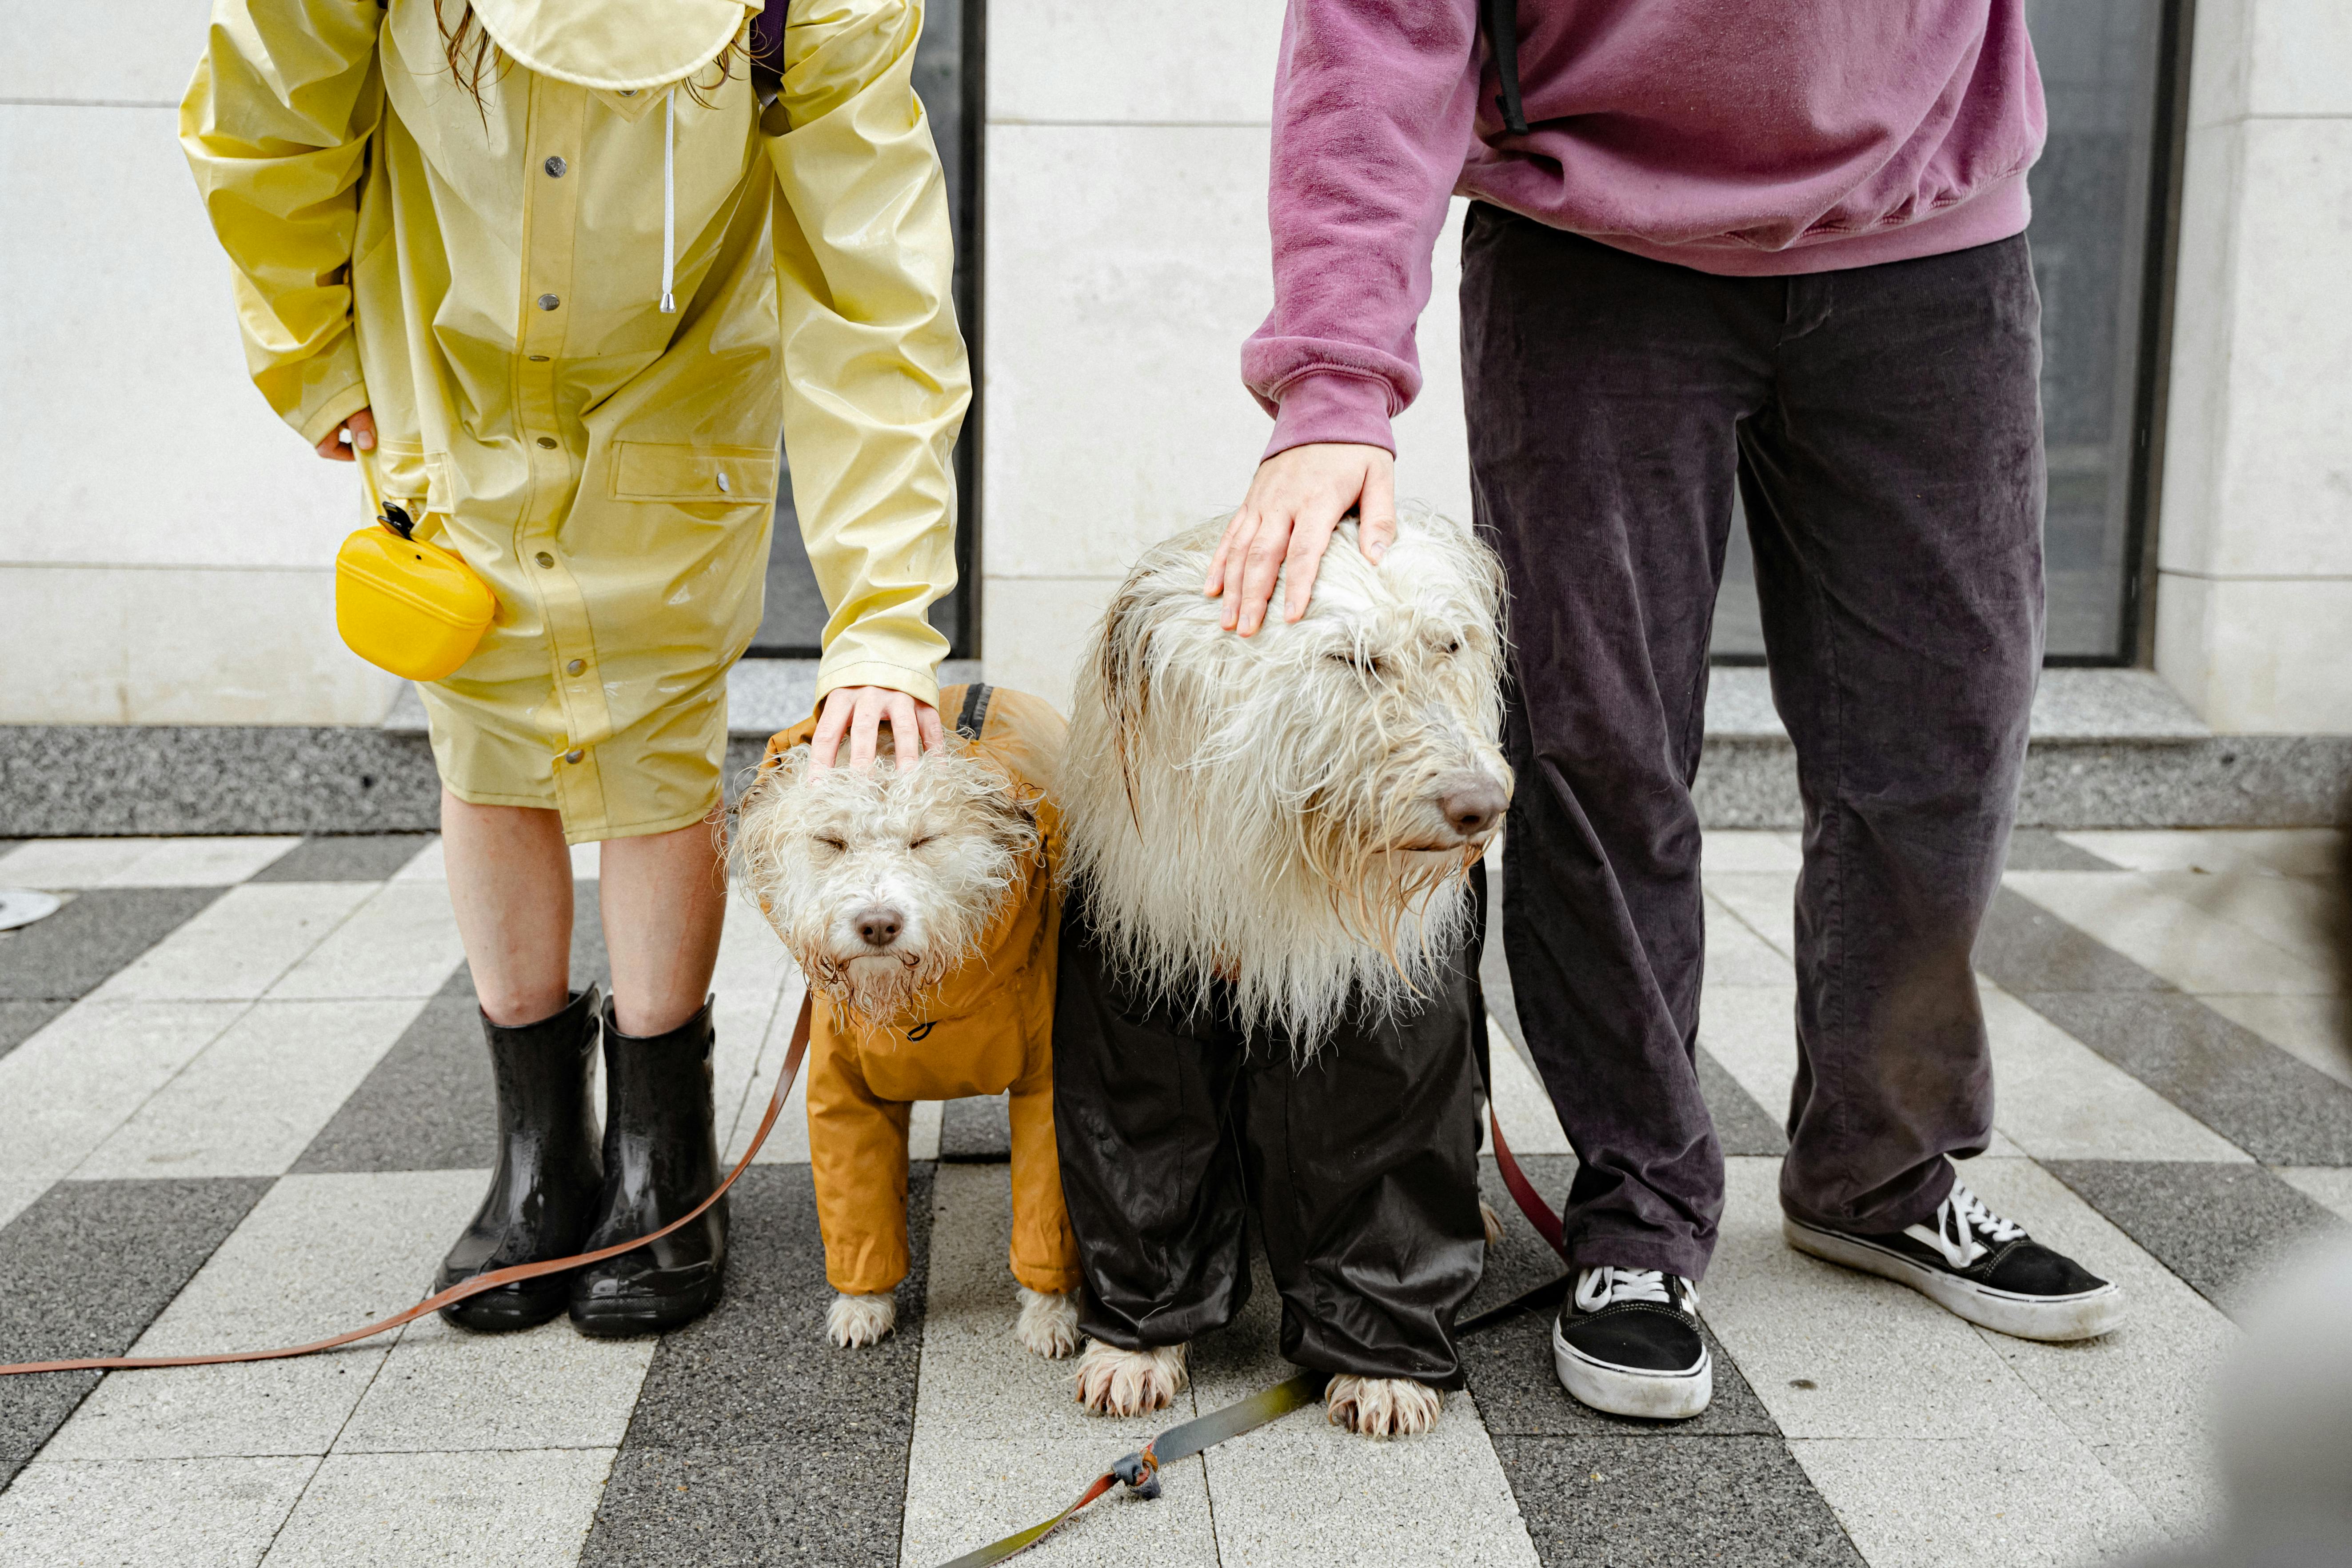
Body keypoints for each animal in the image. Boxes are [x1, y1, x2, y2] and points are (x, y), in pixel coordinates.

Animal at [739, 686, 1086, 1363]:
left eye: (924, 840)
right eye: (832, 841)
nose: (878, 924)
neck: (924, 1010)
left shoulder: (1050, 1085)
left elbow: (1046, 1203)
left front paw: (1049, 1311)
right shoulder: (843, 1094)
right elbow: (859, 1204)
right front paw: (863, 1303)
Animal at [1063, 510, 1514, 1439]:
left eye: (1448, 644)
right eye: (1350, 658)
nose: (1480, 806)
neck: (1274, 863)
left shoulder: (1379, 1024)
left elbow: (1381, 1170)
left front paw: (1383, 1369)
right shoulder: (1134, 1002)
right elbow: (1144, 1160)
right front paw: (1133, 1346)